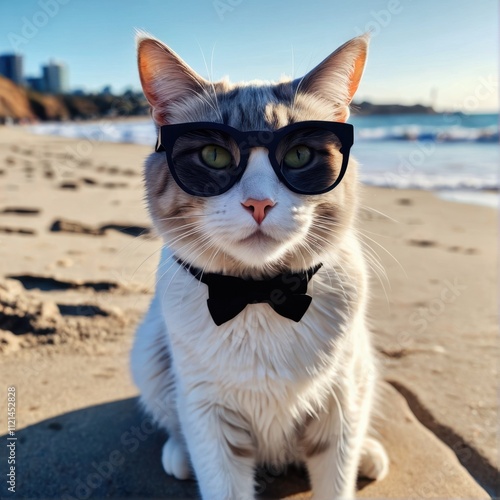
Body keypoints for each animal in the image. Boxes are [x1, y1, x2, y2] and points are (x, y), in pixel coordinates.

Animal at [131, 32, 388, 500]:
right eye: (214, 156)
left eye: (300, 155)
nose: (259, 203)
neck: (260, 295)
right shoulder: (209, 415)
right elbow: (221, 480)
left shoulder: (339, 405)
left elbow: (336, 479)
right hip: (150, 354)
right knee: (173, 421)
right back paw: (179, 455)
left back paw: (369, 454)